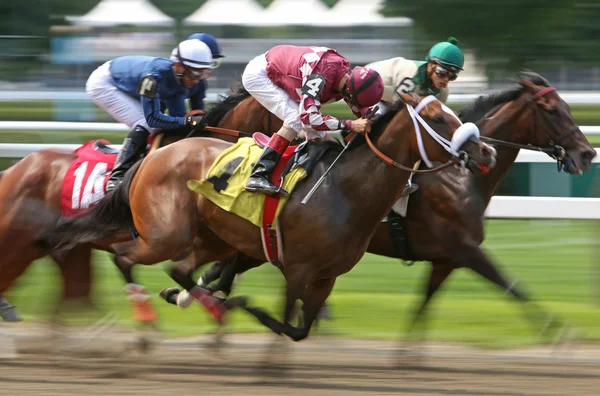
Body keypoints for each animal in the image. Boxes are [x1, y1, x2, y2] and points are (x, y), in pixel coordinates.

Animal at [32, 92, 496, 340]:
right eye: (437, 118)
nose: (485, 151)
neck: (344, 189)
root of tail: (153, 158)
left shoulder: (326, 276)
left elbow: (298, 328)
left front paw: (234, 305)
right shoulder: (298, 268)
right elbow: (284, 319)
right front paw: (248, 312)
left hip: (208, 236)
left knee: (174, 271)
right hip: (165, 234)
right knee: (124, 259)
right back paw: (148, 322)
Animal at [166, 71, 596, 340]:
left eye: (568, 108)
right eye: (554, 111)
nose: (588, 152)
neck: (461, 180)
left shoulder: (446, 258)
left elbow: (423, 306)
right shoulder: (464, 249)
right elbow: (512, 286)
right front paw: (557, 331)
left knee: (227, 268)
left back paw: (192, 295)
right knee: (228, 269)